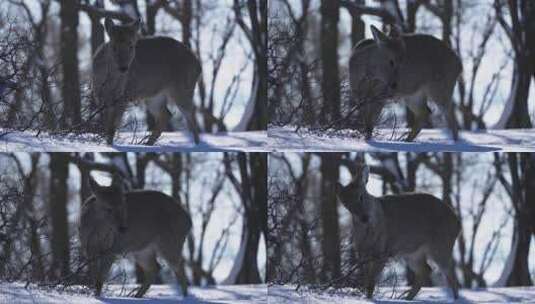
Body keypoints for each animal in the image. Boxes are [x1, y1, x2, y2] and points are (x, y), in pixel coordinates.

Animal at [91, 17, 202, 146]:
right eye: (113, 47)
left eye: (131, 46)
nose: (123, 68)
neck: (109, 82)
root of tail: (198, 65)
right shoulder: (100, 96)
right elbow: (106, 125)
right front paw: (106, 143)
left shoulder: (122, 97)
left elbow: (113, 126)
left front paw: (109, 145)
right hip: (154, 95)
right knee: (166, 114)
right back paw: (148, 143)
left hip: (183, 88)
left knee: (191, 115)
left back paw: (197, 145)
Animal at [338, 162, 462, 300]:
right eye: (346, 204)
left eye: (361, 196)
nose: (364, 217)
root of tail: (457, 223)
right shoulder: (362, 253)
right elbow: (366, 279)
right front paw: (366, 296)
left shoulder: (382, 251)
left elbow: (371, 281)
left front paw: (369, 298)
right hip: (412, 252)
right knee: (426, 269)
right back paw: (407, 298)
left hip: (441, 245)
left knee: (450, 272)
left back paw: (455, 299)